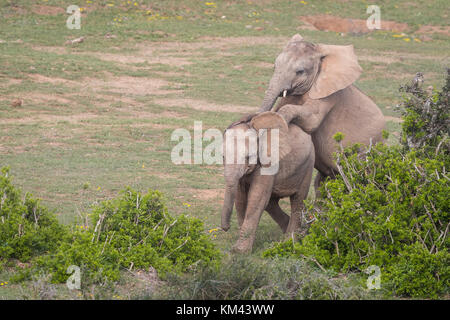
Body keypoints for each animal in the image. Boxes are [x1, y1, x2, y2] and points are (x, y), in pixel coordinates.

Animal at [221, 111, 312, 254]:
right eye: (223, 157)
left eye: (248, 157)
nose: (226, 228)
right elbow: (241, 198)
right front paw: (242, 246)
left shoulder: (268, 162)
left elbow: (256, 198)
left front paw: (239, 251)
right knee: (270, 202)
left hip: (308, 165)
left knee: (298, 201)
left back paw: (289, 242)